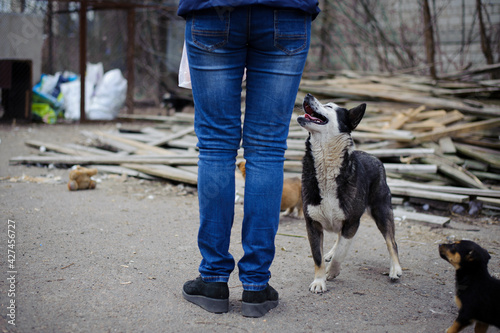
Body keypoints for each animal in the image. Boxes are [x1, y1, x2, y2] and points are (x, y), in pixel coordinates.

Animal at [296, 94, 402, 294]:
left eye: (329, 106)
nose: (307, 95)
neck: (326, 165)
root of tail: (374, 157)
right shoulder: (312, 224)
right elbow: (318, 257)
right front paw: (319, 281)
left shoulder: (352, 222)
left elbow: (342, 250)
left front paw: (331, 272)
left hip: (381, 211)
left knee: (391, 241)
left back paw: (395, 269)